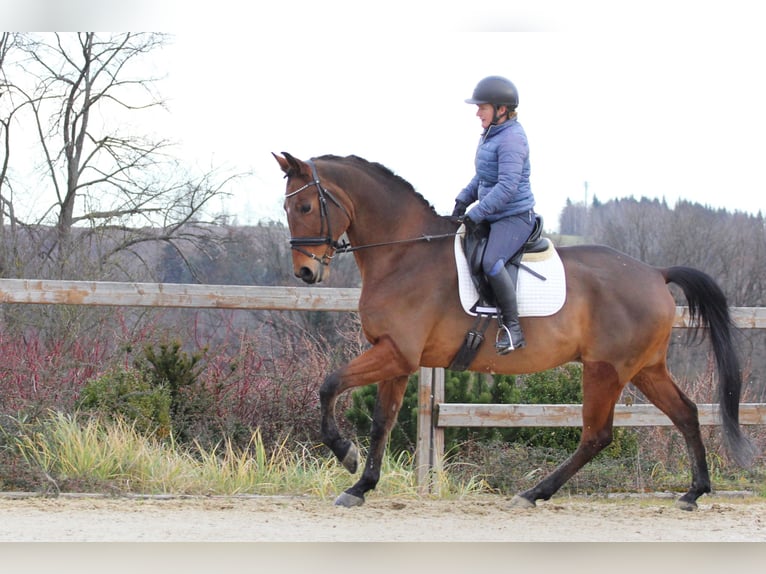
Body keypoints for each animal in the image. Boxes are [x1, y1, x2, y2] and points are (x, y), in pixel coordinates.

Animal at [274, 151, 756, 510]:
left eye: (305, 207)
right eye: (286, 208)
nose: (305, 272)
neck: (403, 254)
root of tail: (656, 273)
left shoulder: (396, 353)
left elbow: (328, 385)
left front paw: (345, 454)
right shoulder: (396, 356)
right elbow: (381, 422)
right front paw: (361, 486)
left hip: (606, 369)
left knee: (597, 435)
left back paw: (533, 493)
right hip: (645, 368)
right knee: (685, 413)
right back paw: (693, 492)